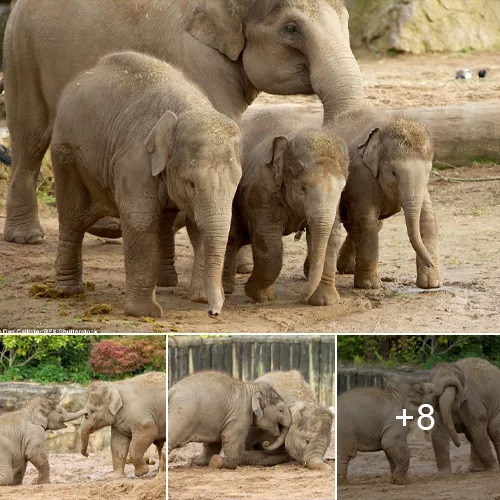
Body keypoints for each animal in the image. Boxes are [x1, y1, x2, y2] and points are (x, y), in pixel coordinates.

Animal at [2, 0, 364, 244]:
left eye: (347, 18)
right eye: (291, 28)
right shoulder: (199, 61)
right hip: (21, 55)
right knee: (30, 139)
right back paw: (27, 238)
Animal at [53, 49, 242, 316]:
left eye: (236, 184)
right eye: (190, 183)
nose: (214, 312)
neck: (187, 108)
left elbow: (198, 225)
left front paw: (200, 299)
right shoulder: (135, 159)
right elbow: (140, 219)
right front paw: (145, 313)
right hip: (66, 154)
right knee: (73, 218)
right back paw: (68, 292)